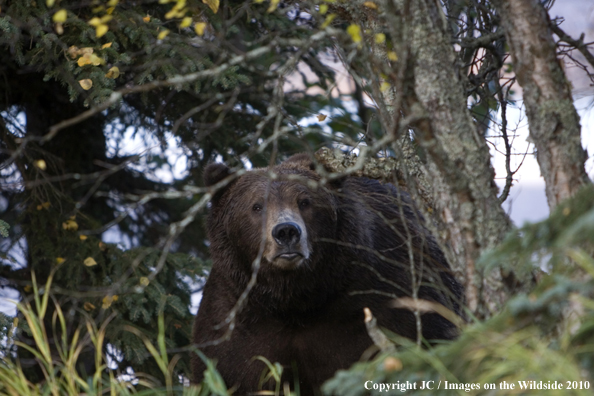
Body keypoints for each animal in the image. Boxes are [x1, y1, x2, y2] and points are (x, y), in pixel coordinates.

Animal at [192, 153, 460, 394]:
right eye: (257, 206)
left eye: (305, 201)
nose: (286, 232)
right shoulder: (238, 319)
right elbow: (234, 371)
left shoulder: (383, 298)